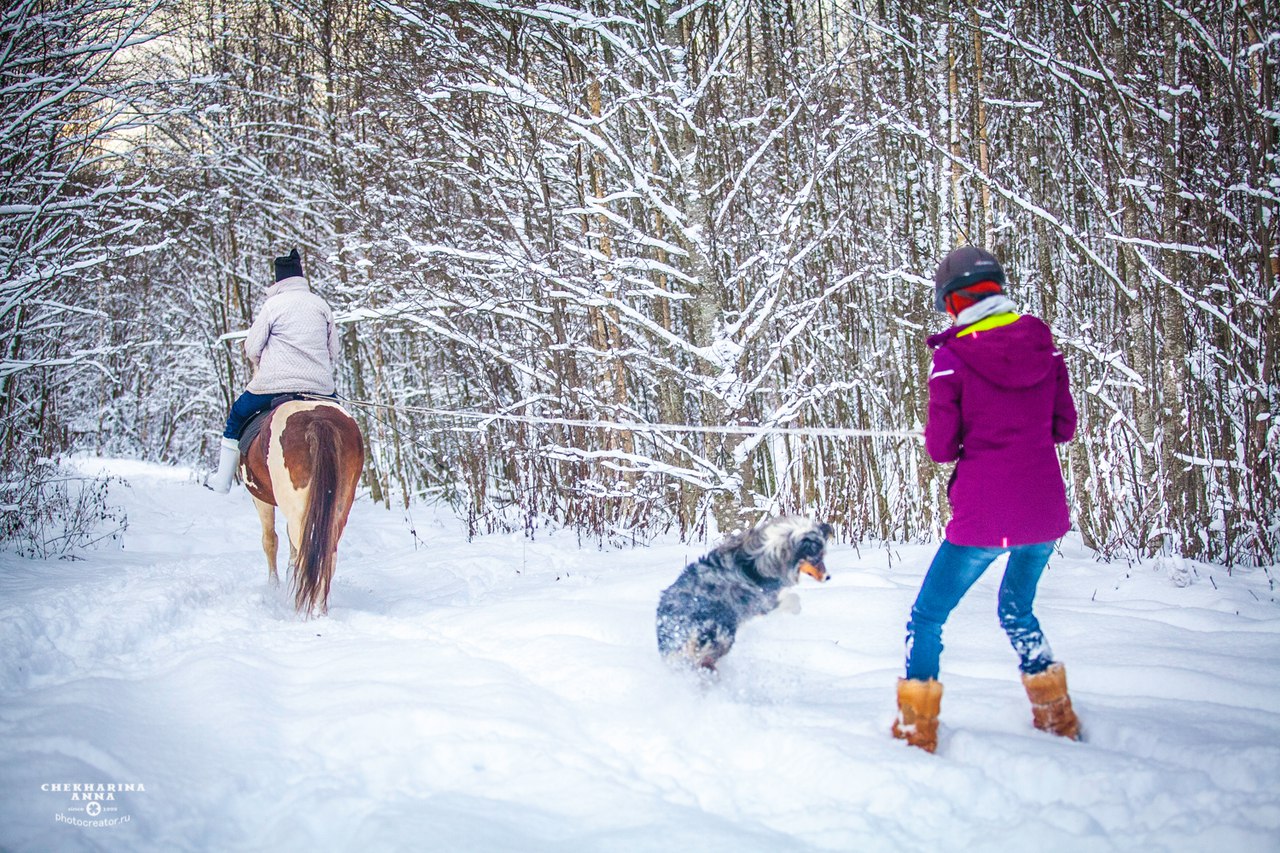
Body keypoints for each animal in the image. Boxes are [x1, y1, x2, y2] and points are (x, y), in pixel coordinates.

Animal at [240, 399, 363, 612]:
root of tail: (319, 420)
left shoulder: (260, 500)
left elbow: (270, 540)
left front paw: (274, 585)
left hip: (297, 512)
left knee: (308, 554)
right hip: (339, 510)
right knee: (327, 555)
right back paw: (319, 608)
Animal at [655, 514, 834, 666]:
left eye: (823, 556)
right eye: (817, 558)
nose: (828, 577)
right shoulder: (764, 602)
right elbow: (793, 598)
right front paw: (796, 609)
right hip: (720, 636)